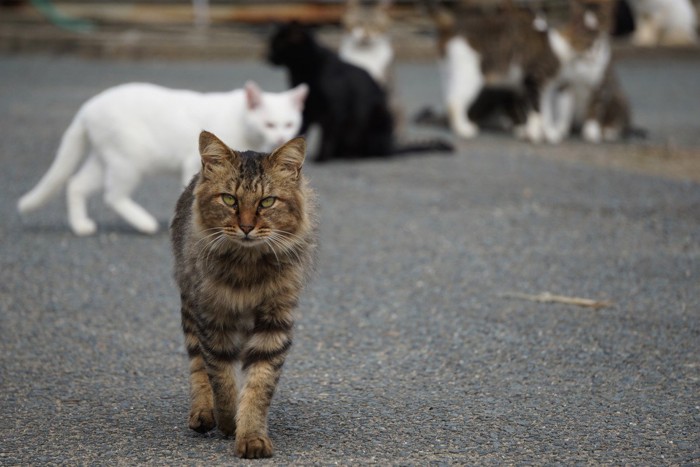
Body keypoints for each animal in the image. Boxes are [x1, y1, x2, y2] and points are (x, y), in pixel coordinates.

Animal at [15, 79, 306, 238]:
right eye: (269, 124)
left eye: (289, 124)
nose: (281, 137)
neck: (241, 119)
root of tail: (88, 106)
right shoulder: (195, 163)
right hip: (130, 161)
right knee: (112, 195)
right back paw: (144, 223)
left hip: (104, 160)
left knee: (76, 184)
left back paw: (80, 226)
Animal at [172, 130, 318, 458]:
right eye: (230, 199)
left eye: (267, 202)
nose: (247, 227)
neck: (248, 268)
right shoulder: (213, 318)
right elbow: (222, 381)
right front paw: (227, 423)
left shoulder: (274, 323)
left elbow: (257, 387)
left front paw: (251, 436)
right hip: (189, 306)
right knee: (198, 367)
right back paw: (203, 414)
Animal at [266, 22, 452, 163]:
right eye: (271, 44)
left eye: (278, 45)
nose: (268, 57)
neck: (302, 72)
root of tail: (391, 146)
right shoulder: (306, 111)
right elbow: (300, 130)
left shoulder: (334, 111)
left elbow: (327, 136)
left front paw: (321, 159)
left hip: (379, 116)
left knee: (377, 154)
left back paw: (352, 156)